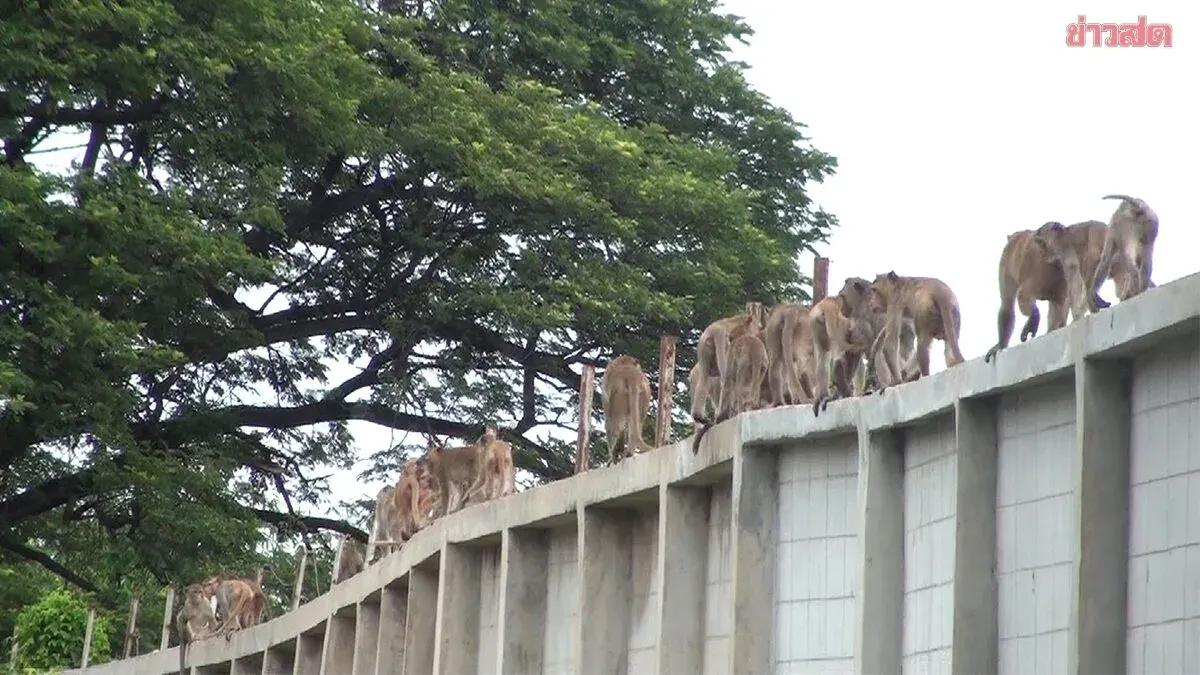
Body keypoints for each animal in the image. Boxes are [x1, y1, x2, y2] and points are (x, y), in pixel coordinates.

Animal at [691, 302, 765, 453]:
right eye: (758, 326)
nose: (758, 332)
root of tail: (711, 331)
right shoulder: (726, 339)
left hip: (703, 350)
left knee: (704, 381)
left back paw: (701, 418)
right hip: (721, 342)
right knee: (726, 377)